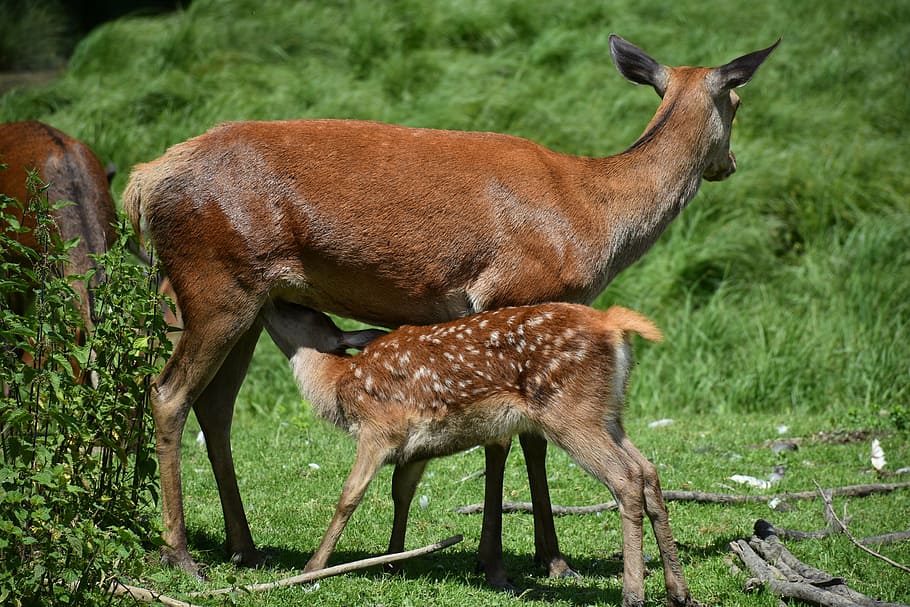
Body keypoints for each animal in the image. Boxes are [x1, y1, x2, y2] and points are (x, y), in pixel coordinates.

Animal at [262, 299, 689, 607]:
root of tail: (612, 323)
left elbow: (349, 497)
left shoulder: (379, 430)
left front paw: (311, 569)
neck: (339, 386)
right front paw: (392, 560)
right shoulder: (415, 449)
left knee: (626, 478)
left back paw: (632, 595)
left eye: (302, 311)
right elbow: (402, 494)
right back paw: (678, 591)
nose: (271, 300)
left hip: (571, 413)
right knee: (649, 471)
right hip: (608, 415)